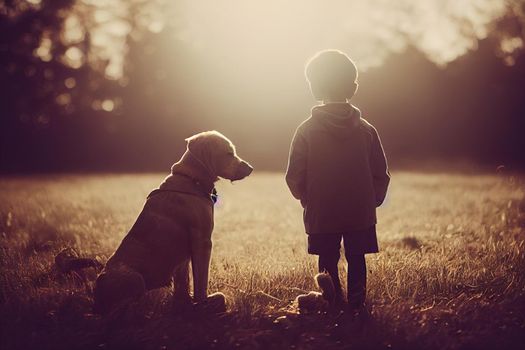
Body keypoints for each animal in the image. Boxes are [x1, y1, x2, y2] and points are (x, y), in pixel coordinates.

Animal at [94, 131, 254, 314]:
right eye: (228, 153)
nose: (251, 168)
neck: (193, 180)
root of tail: (96, 297)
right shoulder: (203, 242)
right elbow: (201, 283)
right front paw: (203, 305)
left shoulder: (184, 256)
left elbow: (183, 282)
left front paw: (185, 303)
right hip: (135, 277)